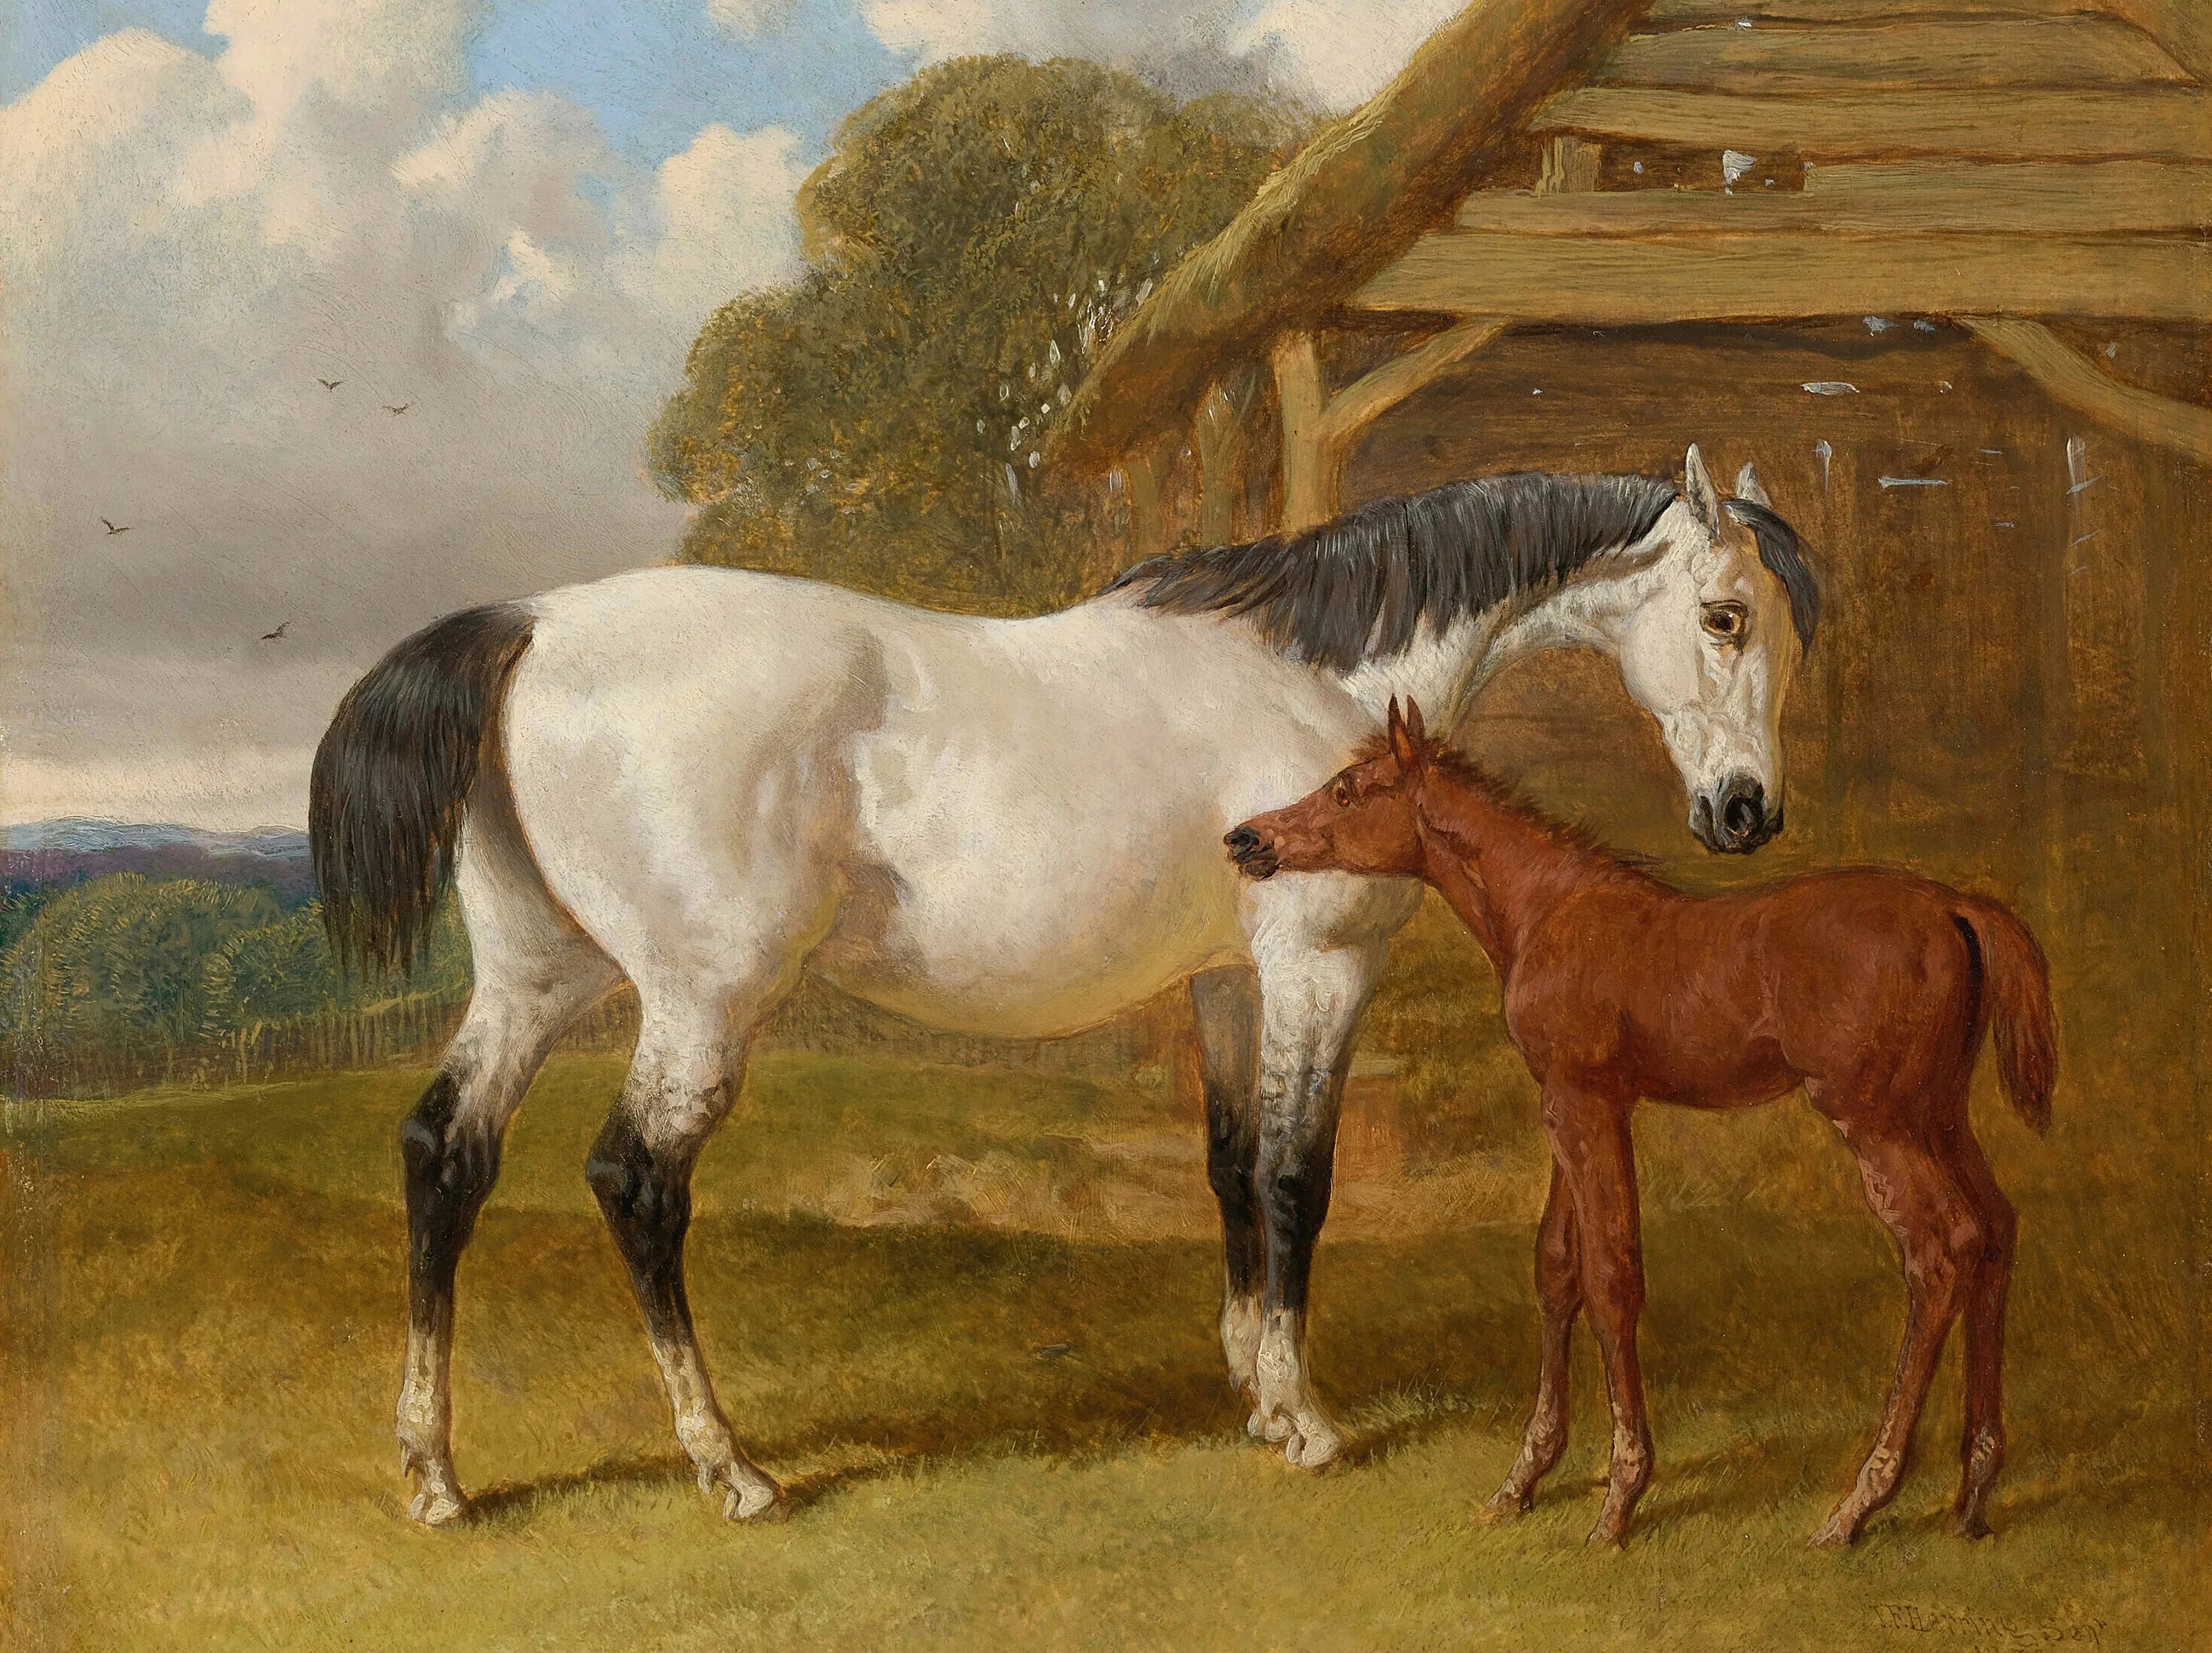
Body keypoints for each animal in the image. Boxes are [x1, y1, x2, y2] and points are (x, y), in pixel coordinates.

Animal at [310, 443, 1819, 1526]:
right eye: (1722, 615)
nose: (1747, 814)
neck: (1320, 677)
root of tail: (532, 625)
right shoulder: (1320, 963)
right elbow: (1297, 1178)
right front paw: (1311, 1423)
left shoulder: (1228, 981)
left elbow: (1228, 1166)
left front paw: (1254, 1392)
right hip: (700, 997)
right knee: (635, 1183)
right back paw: (730, 1468)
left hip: (539, 975)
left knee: (444, 1155)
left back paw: (435, 1476)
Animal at [1226, 697, 2054, 1548]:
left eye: (1349, 791)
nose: (1248, 839)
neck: (1547, 909)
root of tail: (1958, 905)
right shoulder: (1576, 1104)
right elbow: (1558, 1269)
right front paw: (1523, 1480)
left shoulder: (1585, 1105)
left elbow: (1612, 1276)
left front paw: (1620, 1497)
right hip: (1939, 1114)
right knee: (1996, 1230)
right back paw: (1974, 1493)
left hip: (1877, 1122)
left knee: (1942, 1251)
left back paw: (1859, 1503)